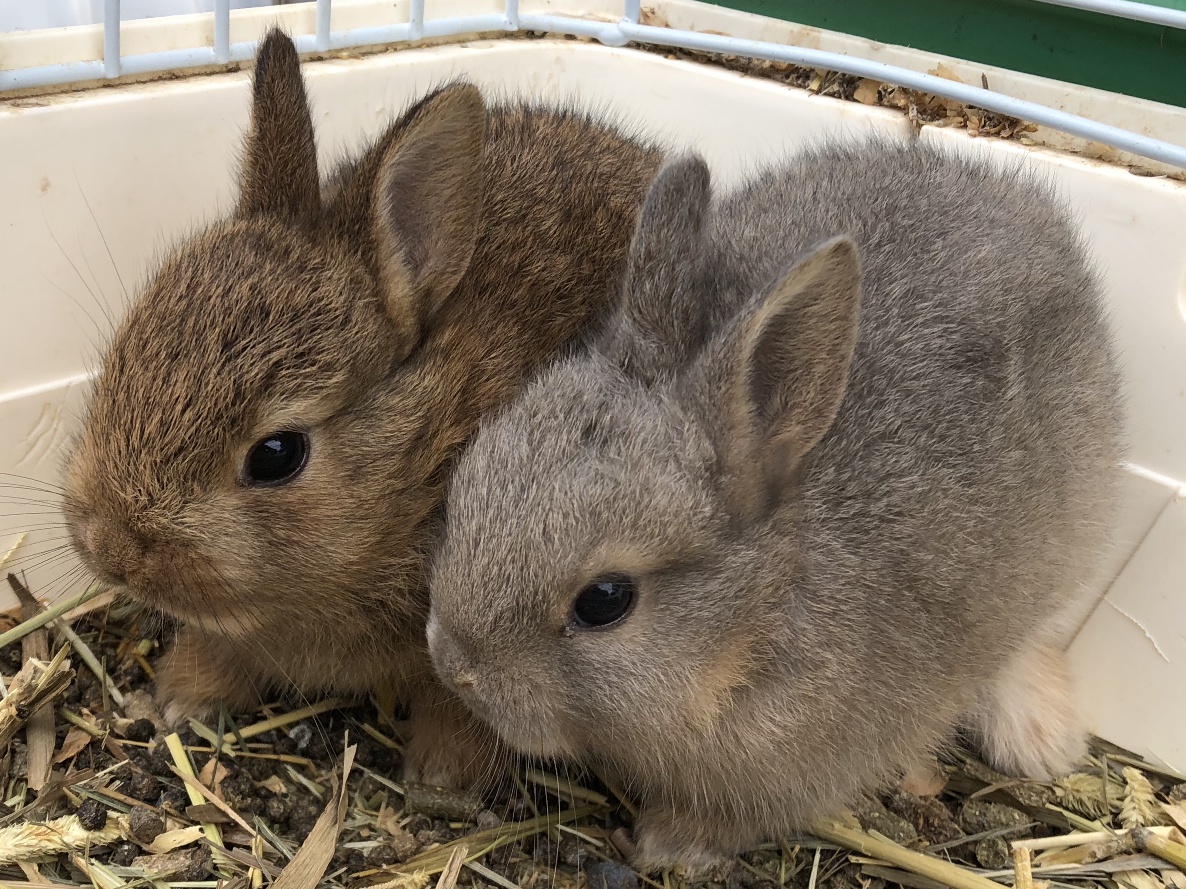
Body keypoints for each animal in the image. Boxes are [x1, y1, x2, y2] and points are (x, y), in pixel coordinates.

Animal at [60, 29, 664, 791]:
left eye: (277, 454)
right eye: (124, 349)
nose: (107, 549)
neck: (422, 459)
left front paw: (441, 778)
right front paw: (180, 699)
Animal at [424, 141, 1119, 872]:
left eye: (604, 600)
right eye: (464, 488)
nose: (455, 666)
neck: (751, 628)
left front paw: (669, 846)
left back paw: (1039, 739)